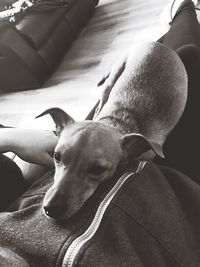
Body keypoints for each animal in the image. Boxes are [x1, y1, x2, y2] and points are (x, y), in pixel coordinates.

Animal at [36, 42, 188, 221]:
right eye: (57, 156)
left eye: (98, 170)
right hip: (113, 79)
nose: (51, 209)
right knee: (103, 96)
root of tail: (156, 43)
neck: (114, 123)